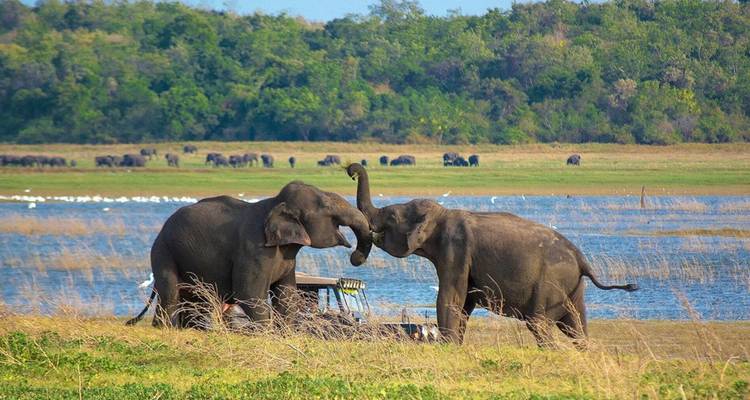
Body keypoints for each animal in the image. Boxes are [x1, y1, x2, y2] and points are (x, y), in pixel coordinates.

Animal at [126, 181, 373, 329]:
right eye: (326, 207)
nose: (355, 257)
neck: (275, 203)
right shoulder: (254, 250)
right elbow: (248, 291)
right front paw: (266, 333)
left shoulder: (287, 257)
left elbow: (287, 294)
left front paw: (286, 332)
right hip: (163, 252)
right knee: (171, 292)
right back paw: (168, 328)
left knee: (197, 297)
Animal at [346, 163, 637, 345]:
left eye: (391, 217)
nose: (351, 171)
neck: (441, 213)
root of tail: (582, 259)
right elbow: (464, 304)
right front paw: (455, 346)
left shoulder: (455, 251)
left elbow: (450, 297)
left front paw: (447, 347)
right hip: (573, 288)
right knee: (576, 327)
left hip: (549, 284)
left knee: (540, 325)